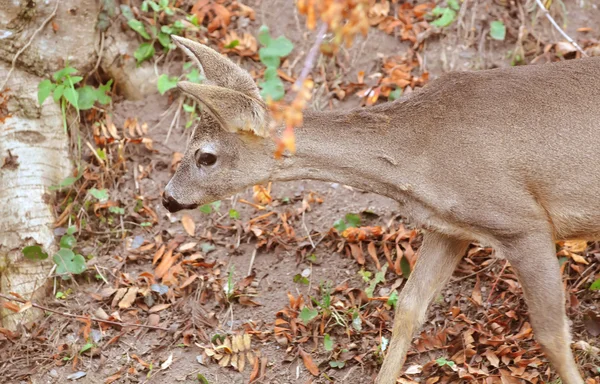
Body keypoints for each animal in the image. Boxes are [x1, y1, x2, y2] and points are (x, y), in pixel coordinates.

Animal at [161, 35, 596, 384]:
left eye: (205, 156)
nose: (168, 198)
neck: (417, 157)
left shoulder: (522, 222)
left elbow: (551, 334)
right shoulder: (449, 228)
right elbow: (408, 310)